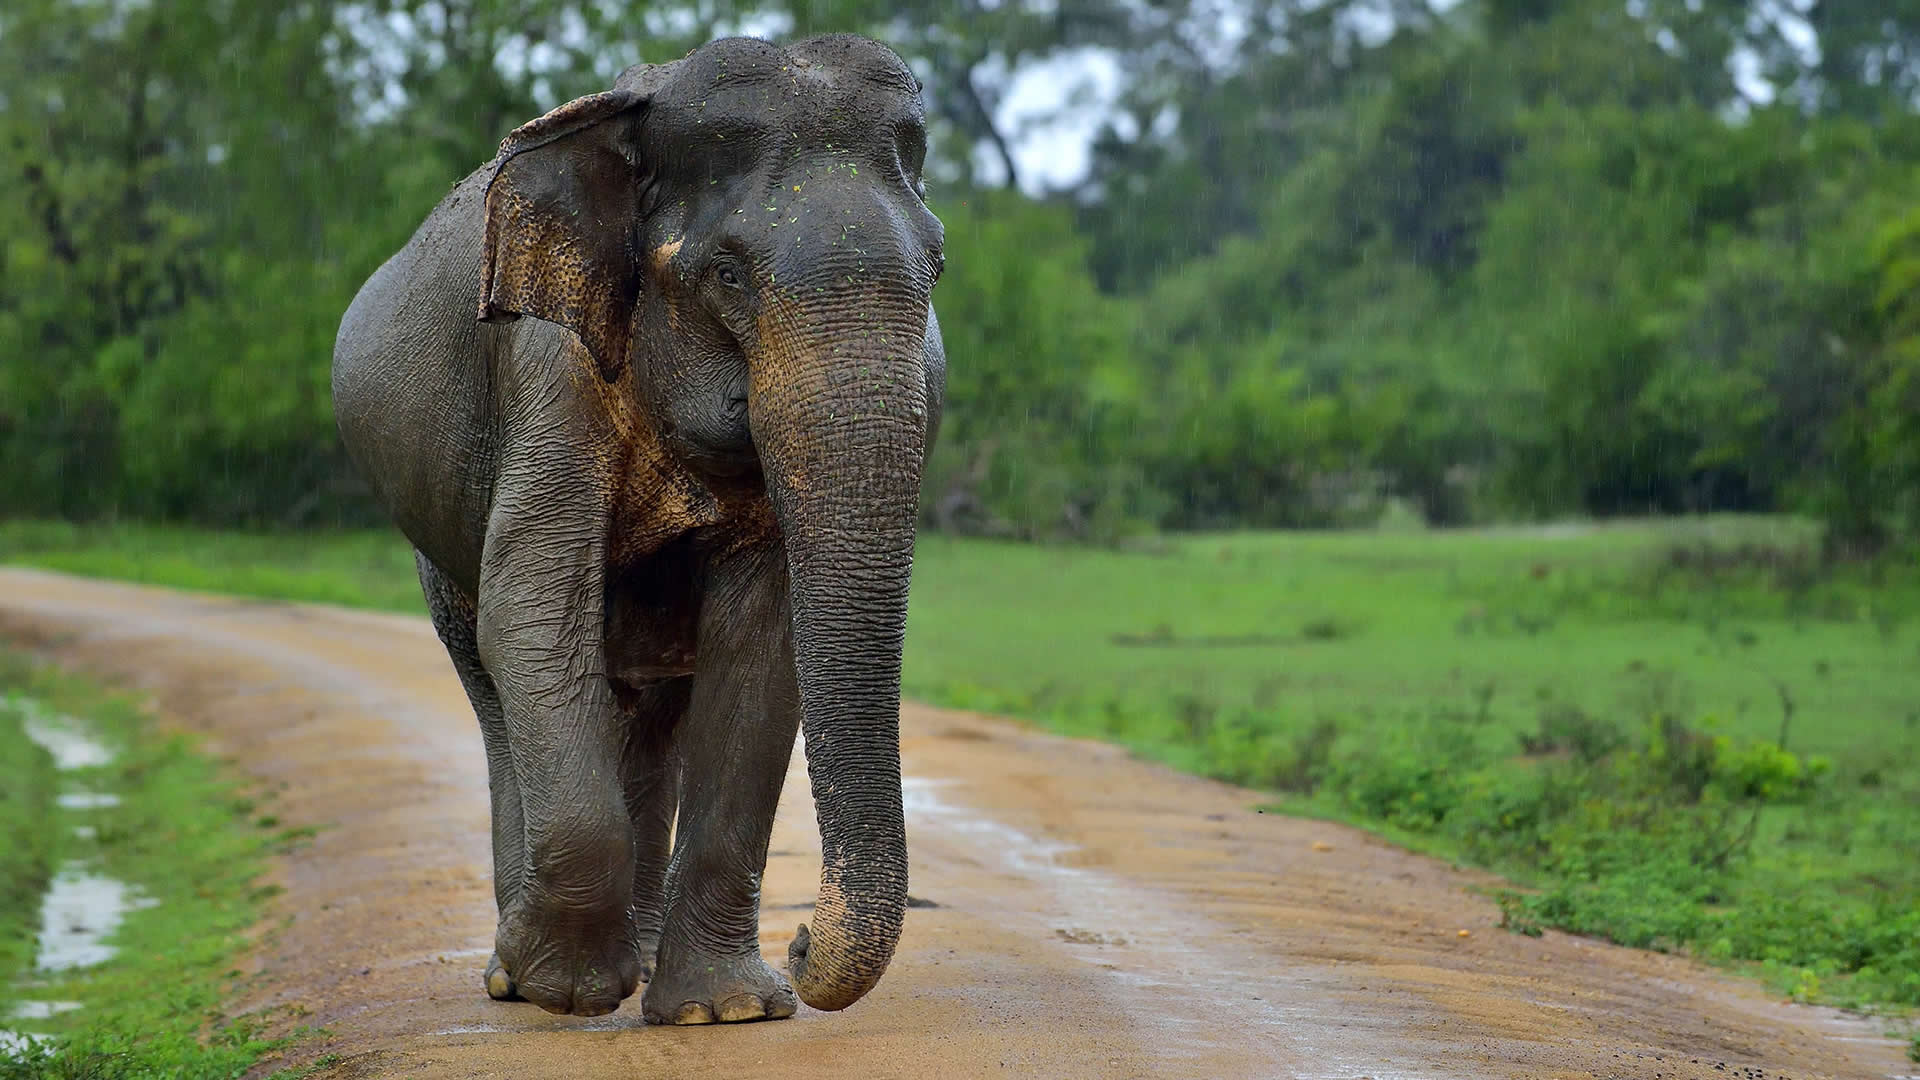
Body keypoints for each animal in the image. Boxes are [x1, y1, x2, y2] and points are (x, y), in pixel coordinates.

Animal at [329, 34, 946, 1024]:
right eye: (728, 274)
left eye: (938, 269)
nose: (801, 941)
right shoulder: (549, 365)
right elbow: (532, 609)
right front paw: (568, 991)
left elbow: (760, 646)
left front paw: (724, 1010)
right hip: (434, 545)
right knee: (493, 677)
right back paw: (513, 975)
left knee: (653, 713)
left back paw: (648, 963)